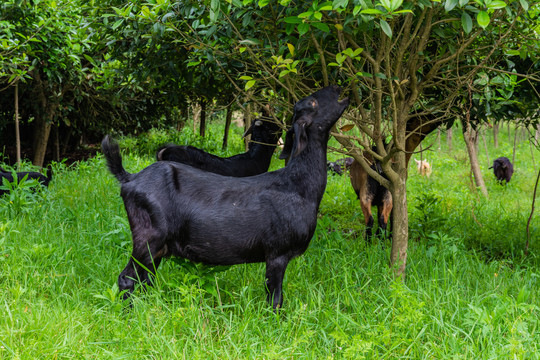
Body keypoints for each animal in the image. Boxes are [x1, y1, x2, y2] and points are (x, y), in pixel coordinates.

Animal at [101, 86, 350, 308]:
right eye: (313, 103)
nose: (337, 87)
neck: (297, 186)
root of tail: (129, 177)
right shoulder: (277, 253)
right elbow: (275, 298)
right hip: (148, 237)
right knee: (127, 279)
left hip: (159, 247)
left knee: (145, 280)